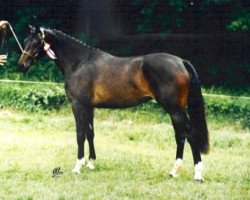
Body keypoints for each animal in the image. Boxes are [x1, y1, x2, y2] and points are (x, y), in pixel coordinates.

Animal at [18, 26, 209, 181]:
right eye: (26, 41)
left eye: (36, 42)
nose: (21, 66)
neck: (80, 62)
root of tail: (181, 62)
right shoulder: (89, 107)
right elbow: (90, 133)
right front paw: (91, 163)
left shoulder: (78, 106)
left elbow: (80, 134)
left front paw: (78, 166)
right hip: (175, 110)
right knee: (180, 136)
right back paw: (174, 171)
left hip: (175, 109)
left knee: (190, 135)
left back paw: (197, 174)